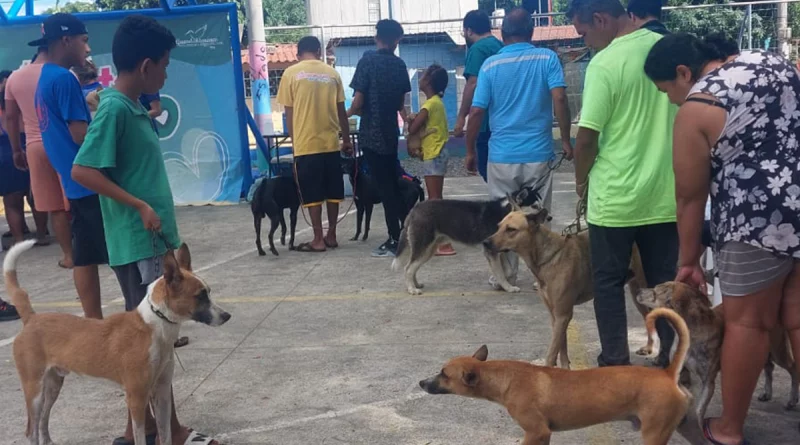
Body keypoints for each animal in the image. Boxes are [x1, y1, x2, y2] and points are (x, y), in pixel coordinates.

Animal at [5, 239, 231, 444]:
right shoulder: (137, 398)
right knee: (31, 430)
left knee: (43, 420)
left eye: (209, 292)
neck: (154, 327)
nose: (227, 316)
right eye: (200, 296)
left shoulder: (162, 393)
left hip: (53, 385)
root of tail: (31, 318)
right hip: (34, 389)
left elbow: (165, 435)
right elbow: (140, 438)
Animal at [392, 185, 540, 294]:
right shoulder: (491, 251)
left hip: (428, 250)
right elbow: (500, 273)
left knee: (413, 268)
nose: (545, 217)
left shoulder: (498, 251)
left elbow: (507, 271)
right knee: (408, 268)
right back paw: (412, 289)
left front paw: (502, 284)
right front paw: (508, 288)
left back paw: (416, 284)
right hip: (423, 247)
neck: (507, 213)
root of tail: (414, 209)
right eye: (534, 206)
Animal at [422, 306, 692, 444]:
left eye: (444, 374)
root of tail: (667, 374)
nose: (421, 382)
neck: (506, 378)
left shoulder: (537, 432)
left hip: (654, 434)